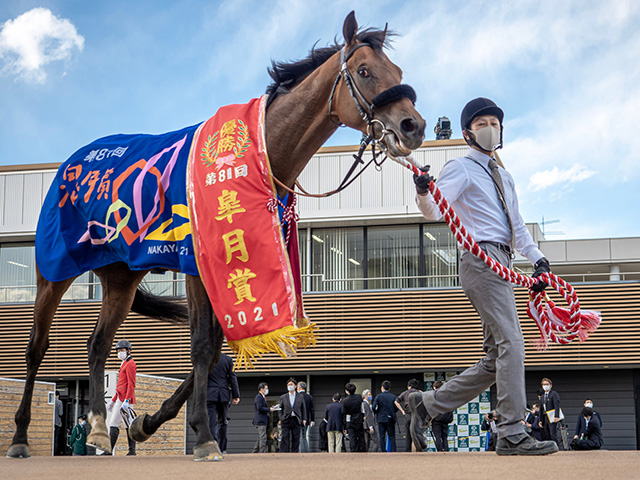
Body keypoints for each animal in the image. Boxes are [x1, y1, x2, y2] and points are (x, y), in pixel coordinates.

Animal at [7, 12, 424, 462]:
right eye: (364, 71)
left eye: (398, 72)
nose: (413, 126)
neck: (256, 159)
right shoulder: (196, 265)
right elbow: (203, 347)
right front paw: (204, 436)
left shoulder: (231, 268)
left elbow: (213, 352)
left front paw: (145, 423)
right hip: (54, 268)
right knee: (36, 347)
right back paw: (20, 436)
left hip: (121, 276)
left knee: (98, 344)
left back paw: (101, 429)